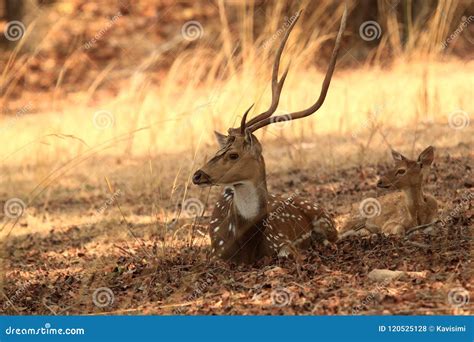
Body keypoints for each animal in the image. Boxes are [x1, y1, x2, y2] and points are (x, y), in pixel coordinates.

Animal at [191, 8, 346, 264]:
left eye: (233, 155)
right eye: (218, 150)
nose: (197, 175)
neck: (247, 247)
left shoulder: (280, 240)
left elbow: (289, 252)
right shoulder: (215, 253)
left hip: (325, 218)